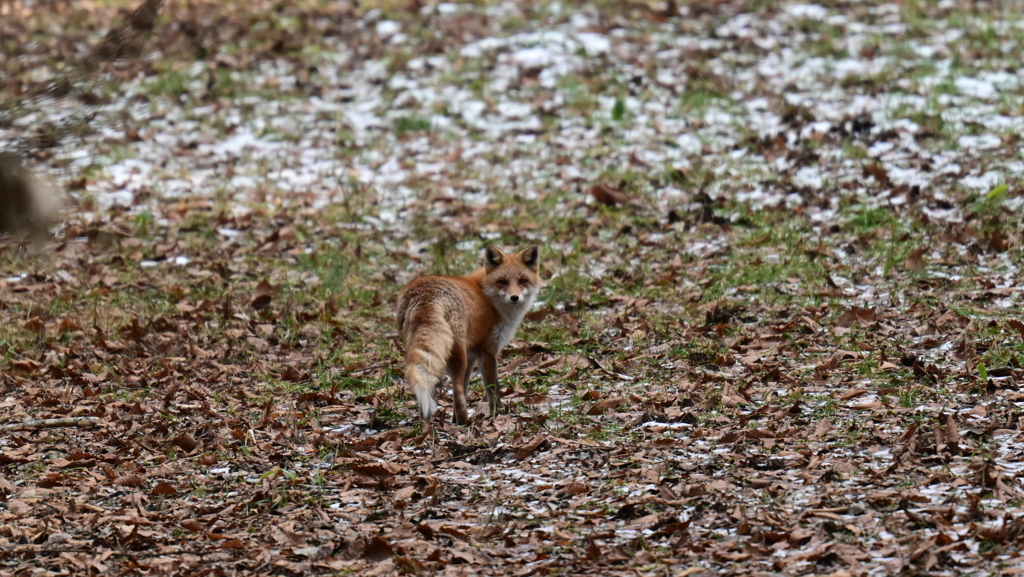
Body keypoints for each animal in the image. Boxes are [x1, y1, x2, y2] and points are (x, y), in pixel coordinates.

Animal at [395, 243, 540, 424]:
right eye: (502, 282)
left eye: (522, 281)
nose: (515, 297)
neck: (488, 297)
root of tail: (426, 292)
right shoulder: (487, 351)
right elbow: (492, 388)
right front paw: (497, 412)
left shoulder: (471, 356)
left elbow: (465, 388)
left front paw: (453, 419)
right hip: (458, 355)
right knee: (456, 390)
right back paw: (465, 422)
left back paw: (426, 422)